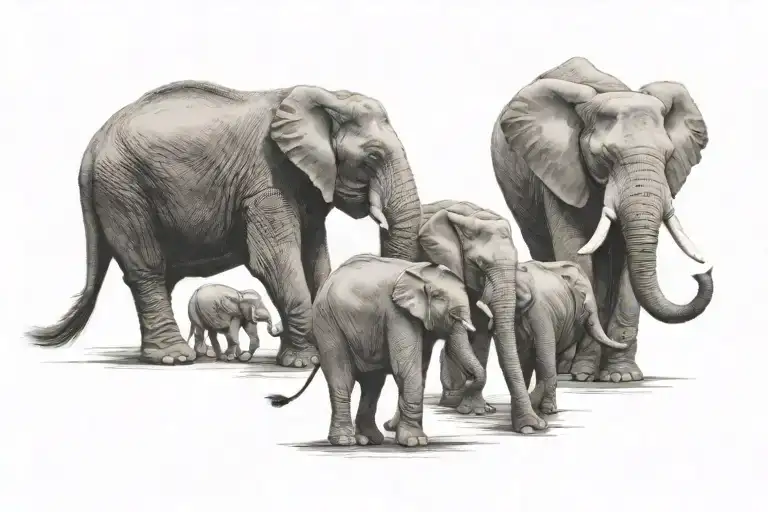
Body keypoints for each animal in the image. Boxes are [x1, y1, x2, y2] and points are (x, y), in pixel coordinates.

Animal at [26, 81, 422, 367]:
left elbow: (315, 258)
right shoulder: (265, 182)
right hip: (122, 190)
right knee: (146, 269)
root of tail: (92, 147)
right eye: (372, 157)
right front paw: (303, 363)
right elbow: (273, 261)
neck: (326, 95)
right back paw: (173, 358)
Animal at [266, 254, 484, 448]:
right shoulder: (398, 314)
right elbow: (406, 368)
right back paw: (344, 441)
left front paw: (411, 438)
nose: (468, 380)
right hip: (327, 322)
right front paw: (415, 442)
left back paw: (369, 440)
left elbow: (419, 370)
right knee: (342, 377)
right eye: (442, 301)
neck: (420, 273)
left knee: (373, 384)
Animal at [490, 56, 714, 383]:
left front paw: (622, 377)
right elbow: (575, 252)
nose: (700, 273)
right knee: (544, 246)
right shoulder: (558, 169)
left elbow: (628, 262)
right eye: (606, 154)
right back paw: (565, 369)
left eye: (668, 154)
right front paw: (583, 375)